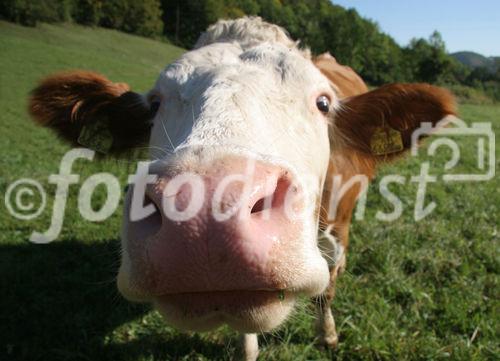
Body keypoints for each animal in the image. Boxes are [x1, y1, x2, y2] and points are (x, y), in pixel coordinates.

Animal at [29, 16, 456, 360]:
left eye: (322, 102)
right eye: (154, 104)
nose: (204, 216)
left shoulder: (339, 234)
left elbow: (327, 291)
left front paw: (327, 336)